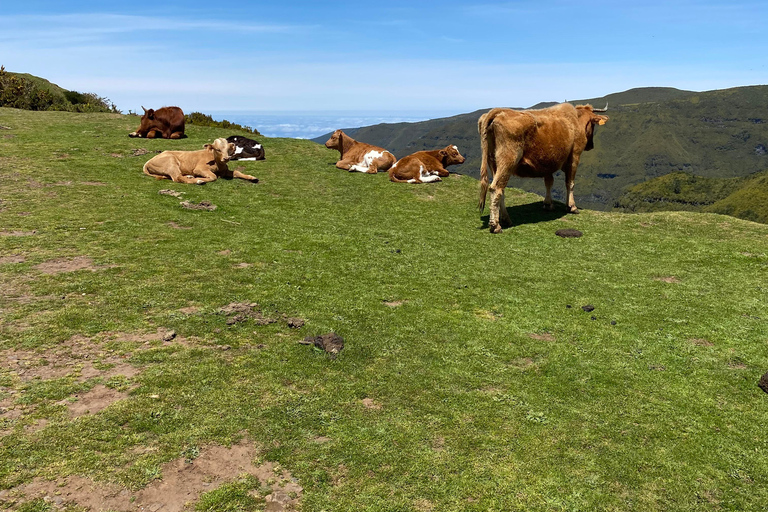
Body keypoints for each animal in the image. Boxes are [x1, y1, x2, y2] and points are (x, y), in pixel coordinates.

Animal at [476, 103, 608, 234]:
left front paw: (548, 204)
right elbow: (570, 183)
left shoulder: (548, 162)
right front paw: (572, 206)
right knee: (495, 188)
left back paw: (506, 219)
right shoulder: (575, 157)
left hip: (493, 162)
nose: (591, 146)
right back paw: (495, 225)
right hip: (507, 160)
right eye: (593, 124)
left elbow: (548, 182)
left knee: (501, 189)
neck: (575, 120)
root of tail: (497, 111)